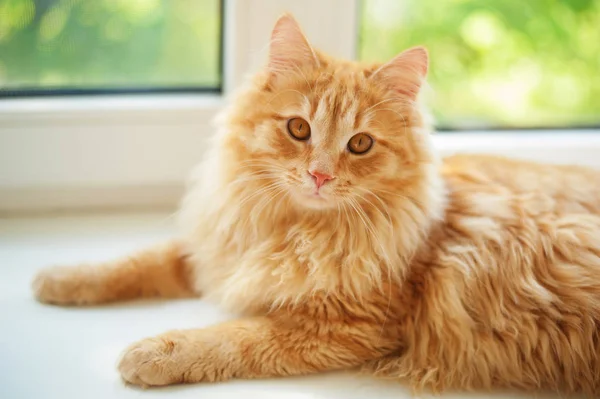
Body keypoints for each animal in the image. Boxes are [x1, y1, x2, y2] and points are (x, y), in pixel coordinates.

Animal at [31, 13, 600, 396]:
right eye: (298, 129)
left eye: (361, 144)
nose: (320, 175)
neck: (292, 228)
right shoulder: (220, 250)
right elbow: (136, 261)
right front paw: (61, 279)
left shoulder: (343, 326)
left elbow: (231, 337)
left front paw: (155, 352)